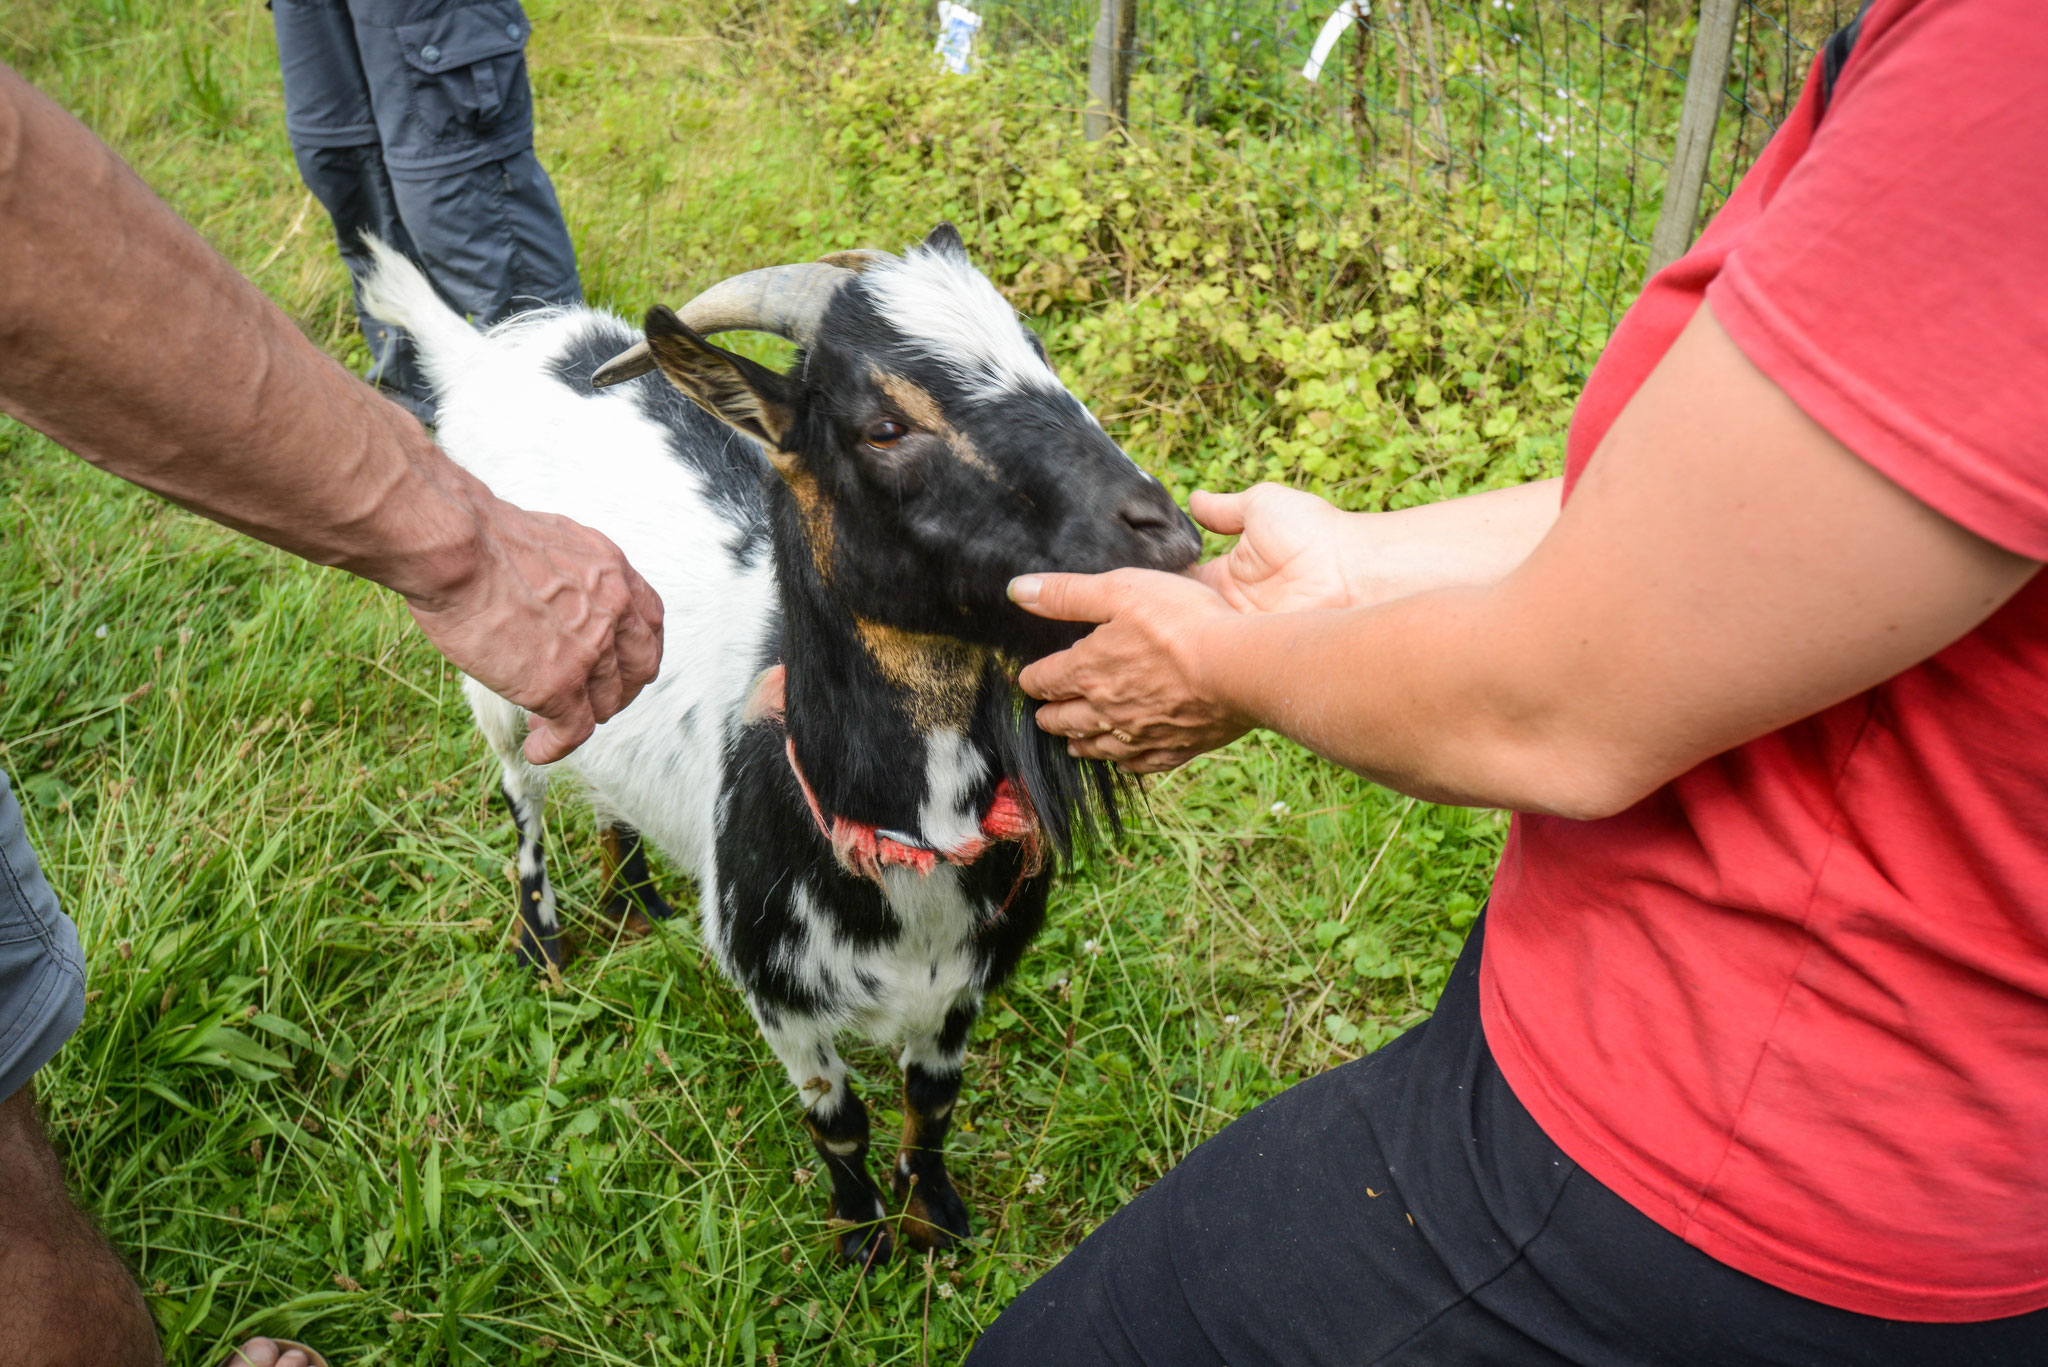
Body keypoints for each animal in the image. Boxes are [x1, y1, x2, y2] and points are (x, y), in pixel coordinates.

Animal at [364, 227, 1196, 1270]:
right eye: (884, 425)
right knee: (523, 795)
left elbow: (931, 1105)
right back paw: (541, 944)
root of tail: (484, 354)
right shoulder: (779, 997)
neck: (904, 847)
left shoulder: (961, 984)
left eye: (1039, 354)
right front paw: (861, 1243)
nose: (1169, 535)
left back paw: (635, 898)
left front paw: (935, 1225)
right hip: (495, 681)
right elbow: (838, 1121)